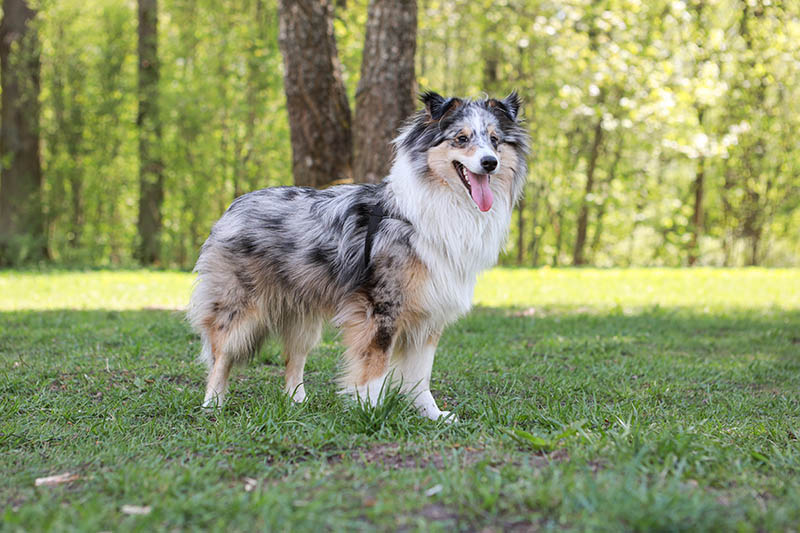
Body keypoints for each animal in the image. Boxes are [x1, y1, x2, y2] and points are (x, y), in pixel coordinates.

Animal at [188, 93, 532, 422]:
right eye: (461, 138)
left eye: (495, 140)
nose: (489, 163)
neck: (442, 205)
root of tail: (235, 204)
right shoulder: (380, 308)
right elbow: (375, 369)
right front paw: (372, 412)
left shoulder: (428, 313)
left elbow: (420, 377)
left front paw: (433, 415)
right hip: (237, 308)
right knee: (221, 356)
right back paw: (212, 404)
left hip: (303, 319)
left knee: (293, 358)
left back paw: (297, 402)